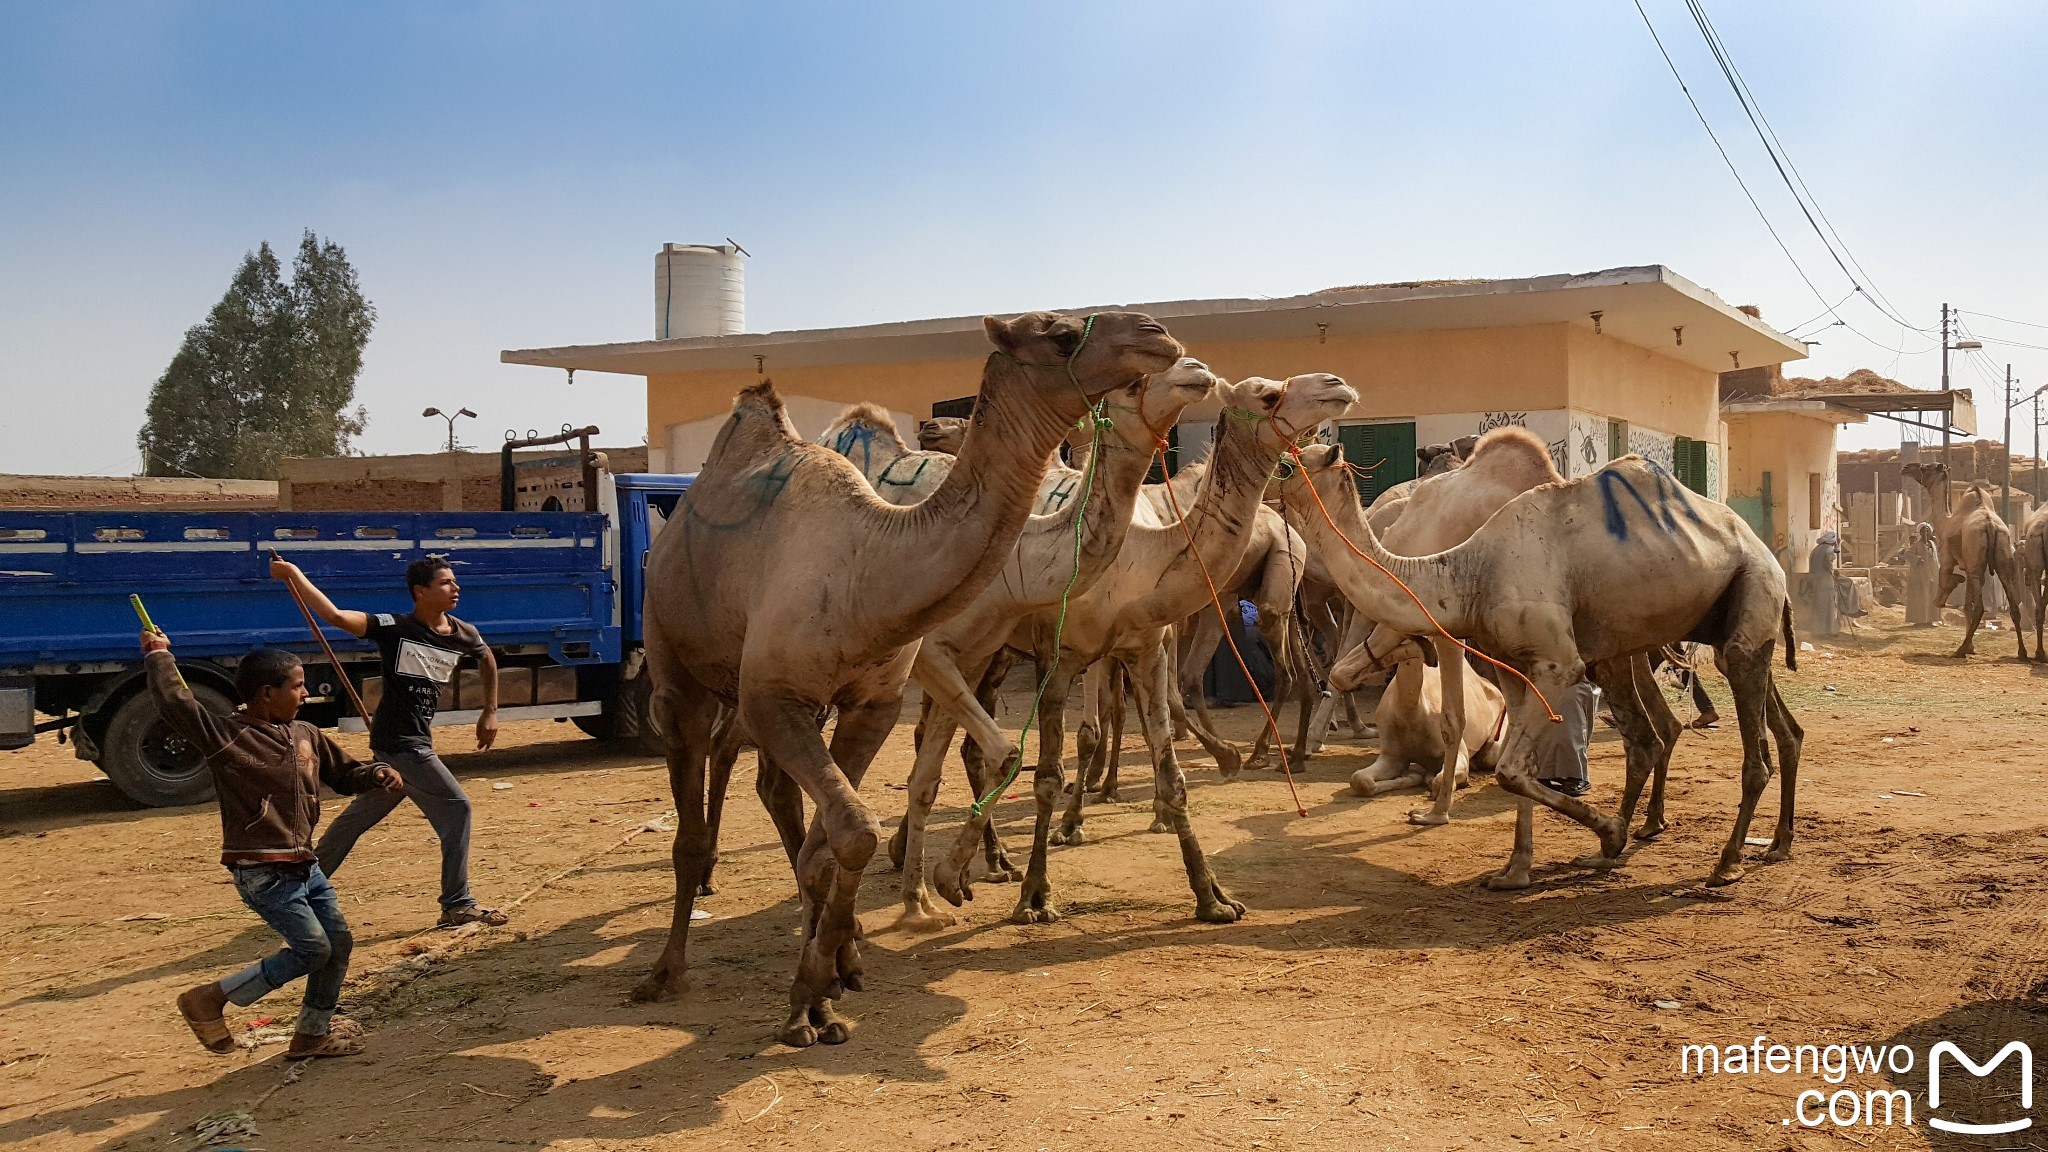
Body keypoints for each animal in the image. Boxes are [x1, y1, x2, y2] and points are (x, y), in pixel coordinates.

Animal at [638, 307, 1187, 1041]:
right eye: (1059, 332)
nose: (1157, 332)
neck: (870, 566)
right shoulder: (772, 698)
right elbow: (853, 829)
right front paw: (811, 991)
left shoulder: (871, 701)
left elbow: (836, 840)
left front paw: (825, 986)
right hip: (678, 668)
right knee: (694, 813)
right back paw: (666, 969)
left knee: (782, 799)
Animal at [933, 373, 1359, 918]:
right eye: (1266, 395)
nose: (1337, 384)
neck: (1137, 552)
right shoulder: (1062, 657)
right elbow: (1051, 772)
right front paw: (1035, 893)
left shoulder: (1144, 649)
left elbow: (1170, 771)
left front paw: (1213, 897)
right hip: (977, 641)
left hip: (1002, 649)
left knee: (970, 743)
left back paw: (984, 863)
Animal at [1286, 440, 1802, 889]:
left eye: (1291, 465)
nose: (1271, 480)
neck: (1471, 571)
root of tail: (1764, 550)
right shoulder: (1512, 665)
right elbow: (1518, 770)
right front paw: (1516, 871)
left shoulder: (1558, 665)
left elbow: (1510, 771)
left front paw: (1606, 832)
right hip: (1667, 634)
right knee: (1678, 733)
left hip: (1752, 591)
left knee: (1749, 745)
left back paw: (1727, 862)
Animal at [1892, 457, 2023, 655]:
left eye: (1926, 467)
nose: (1906, 467)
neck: (1946, 522)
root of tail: (1990, 526)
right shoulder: (1968, 567)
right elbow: (1966, 606)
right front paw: (1971, 646)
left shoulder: (1948, 558)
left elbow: (1946, 579)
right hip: (2003, 557)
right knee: (2013, 604)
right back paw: (2023, 653)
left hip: (1977, 562)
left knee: (1979, 607)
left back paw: (1960, 650)